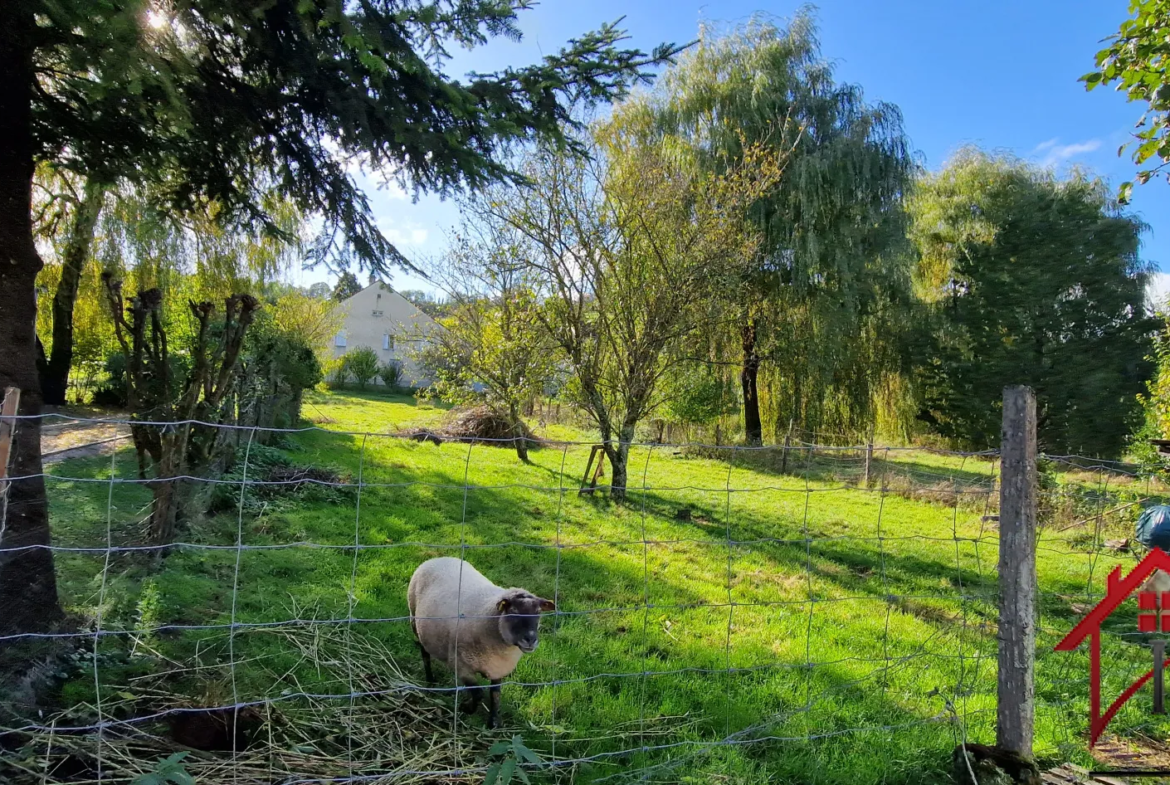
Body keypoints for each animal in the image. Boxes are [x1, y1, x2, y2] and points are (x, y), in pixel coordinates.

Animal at [409, 556, 554, 730]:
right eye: (513, 611)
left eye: (538, 613)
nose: (531, 639)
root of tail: (439, 558)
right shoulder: (462, 666)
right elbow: (478, 694)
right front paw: (467, 708)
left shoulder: (497, 668)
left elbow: (495, 695)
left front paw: (492, 722)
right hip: (414, 621)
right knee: (425, 654)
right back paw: (430, 680)